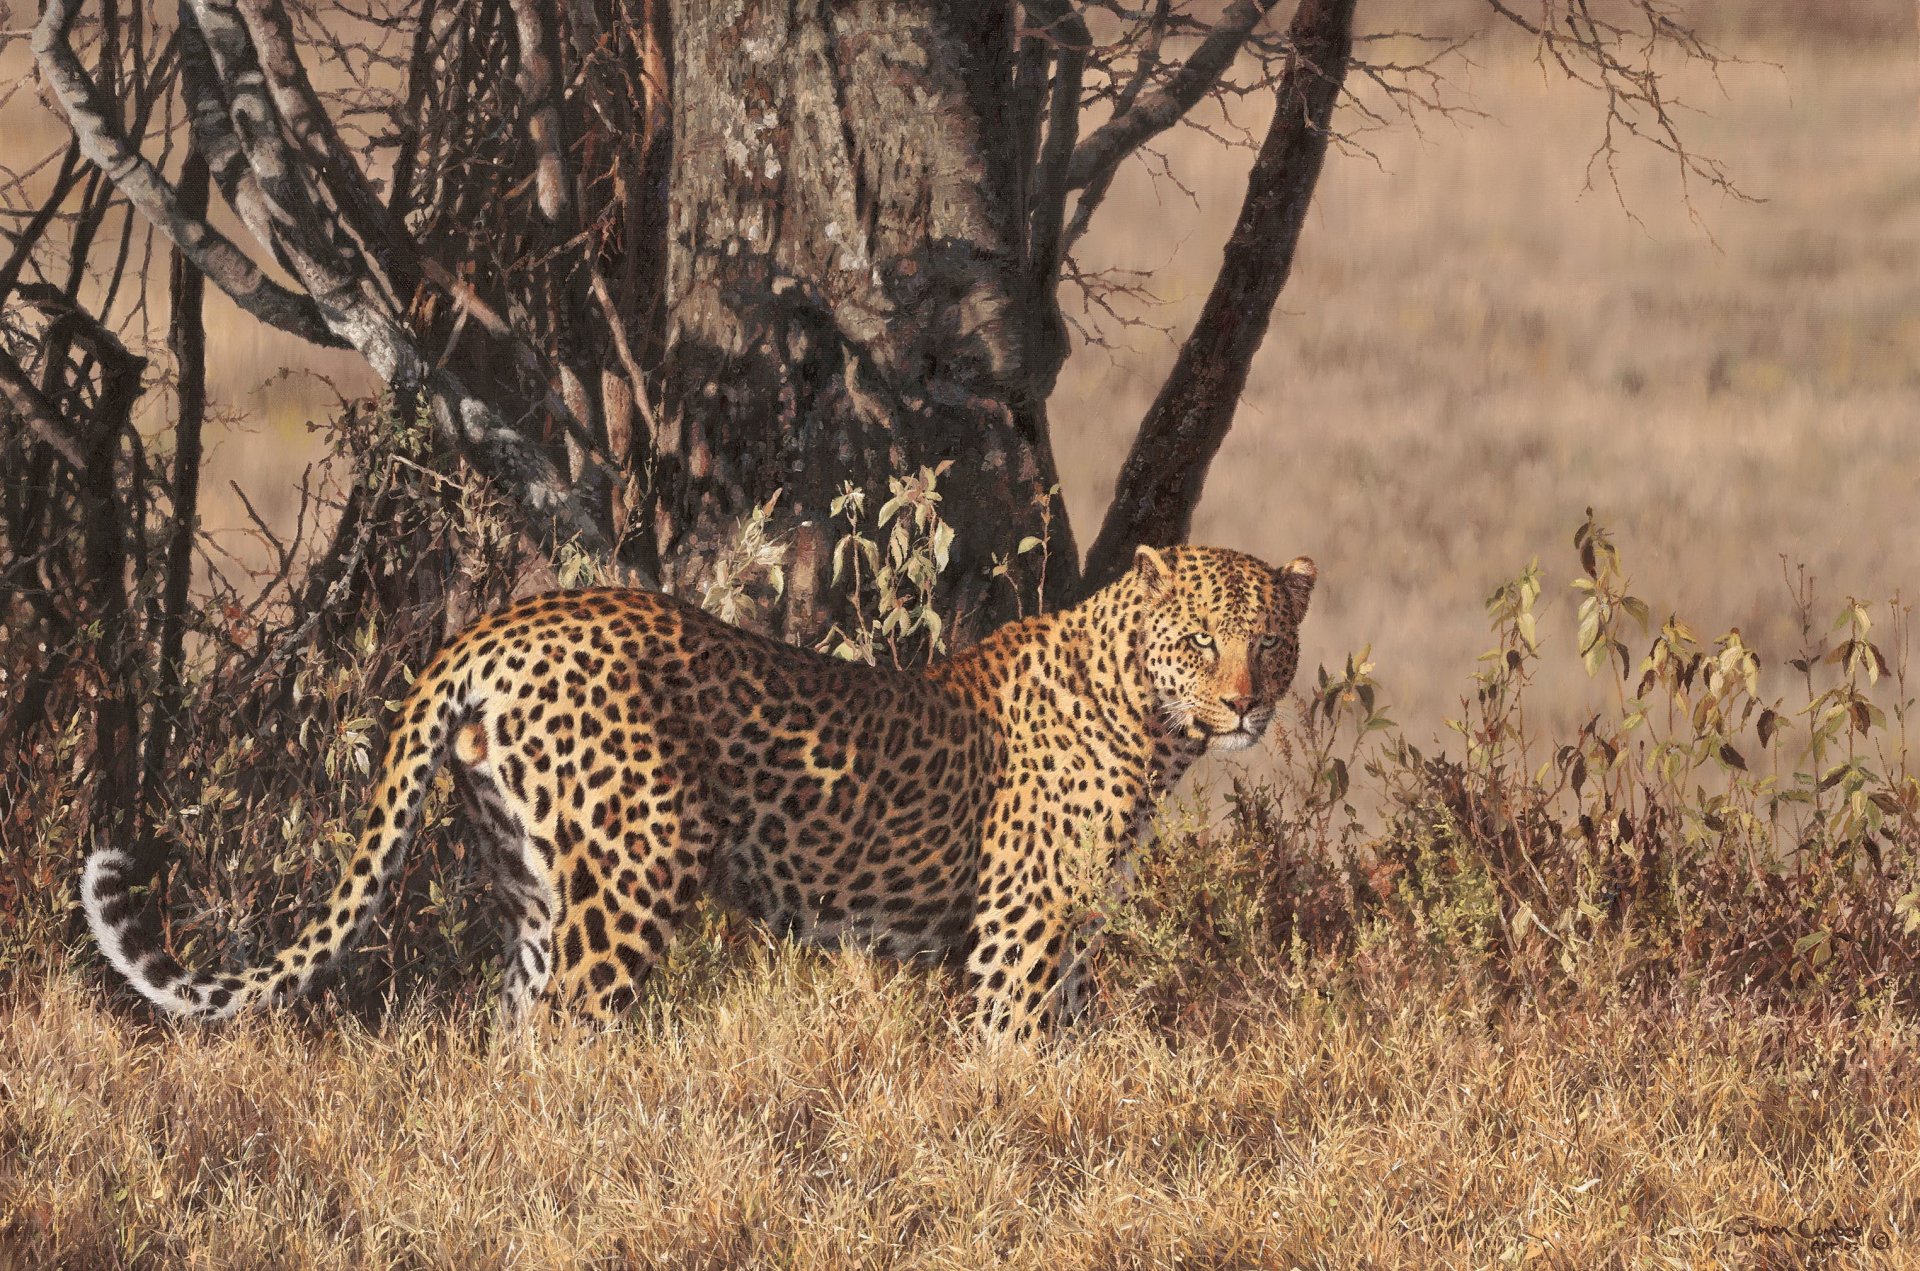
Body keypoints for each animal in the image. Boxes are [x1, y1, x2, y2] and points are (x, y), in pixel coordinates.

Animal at [90, 541, 1320, 1044]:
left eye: (1269, 642)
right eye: (1200, 640)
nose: (1245, 705)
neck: (1149, 719)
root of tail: (502, 622)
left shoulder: (1059, 930)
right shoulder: (1024, 926)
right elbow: (1012, 1053)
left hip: (537, 880)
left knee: (516, 1033)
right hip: (636, 870)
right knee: (572, 1030)